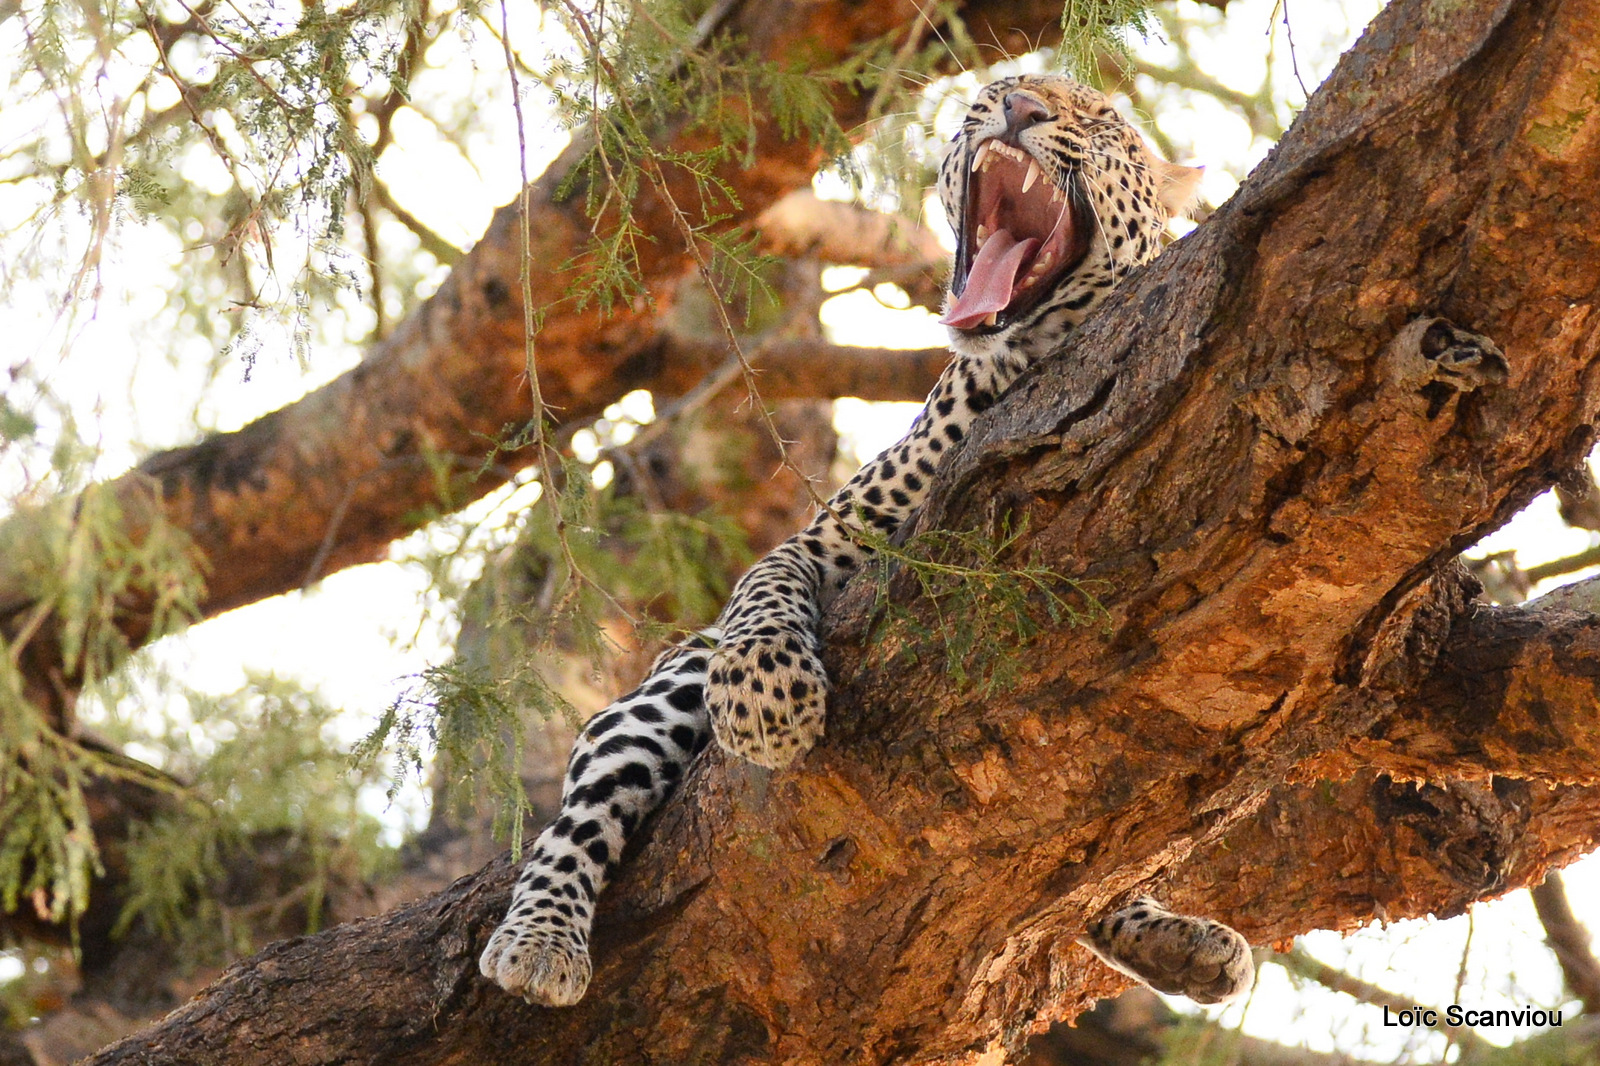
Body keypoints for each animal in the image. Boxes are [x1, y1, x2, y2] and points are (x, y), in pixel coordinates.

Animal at [480, 72, 1254, 1005]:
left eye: (1102, 122)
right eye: (1003, 87)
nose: (1022, 109)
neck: (1028, 359)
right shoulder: (826, 537)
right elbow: (765, 588)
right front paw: (767, 700)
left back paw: (1181, 942)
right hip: (667, 680)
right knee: (588, 798)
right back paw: (540, 938)